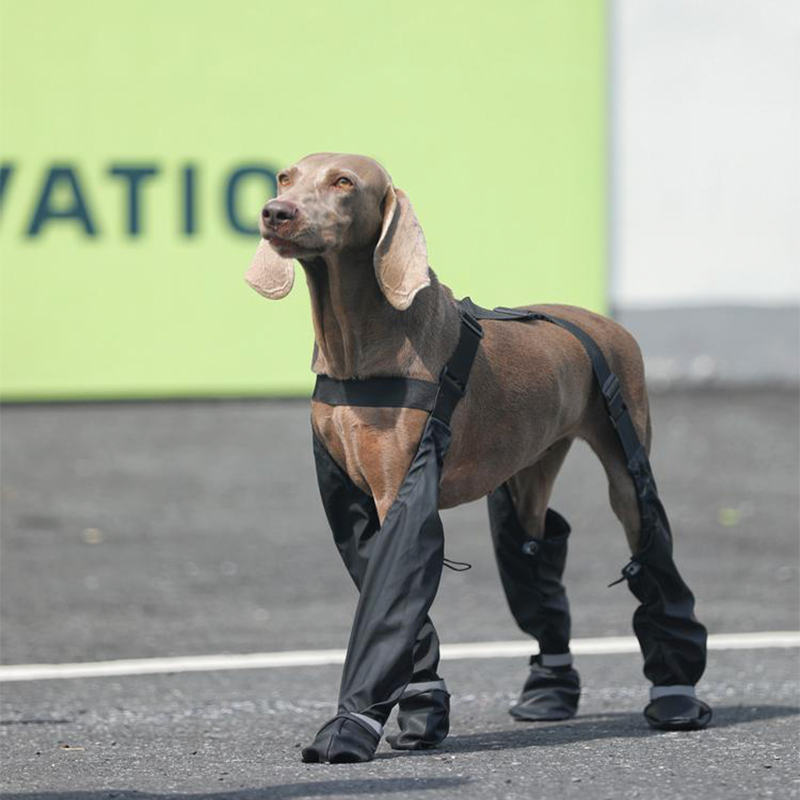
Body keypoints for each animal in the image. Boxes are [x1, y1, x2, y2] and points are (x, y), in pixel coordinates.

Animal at [247, 155, 708, 764]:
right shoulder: (349, 502)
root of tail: (607, 323)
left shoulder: (402, 493)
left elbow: (393, 595)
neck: (357, 346)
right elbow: (399, 606)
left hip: (627, 469)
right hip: (526, 473)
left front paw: (347, 729)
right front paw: (422, 716)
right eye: (285, 178)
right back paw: (549, 691)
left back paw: (676, 696)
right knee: (535, 548)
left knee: (652, 553)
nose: (275, 213)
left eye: (343, 182)